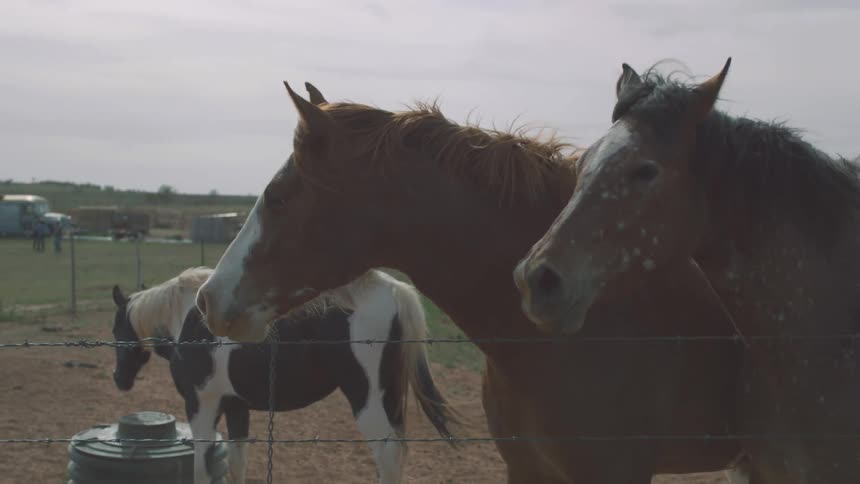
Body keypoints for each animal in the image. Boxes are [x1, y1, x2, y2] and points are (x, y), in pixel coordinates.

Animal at [111, 267, 458, 484]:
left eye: (115, 330)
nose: (119, 380)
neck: (188, 321)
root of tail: (394, 291)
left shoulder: (201, 406)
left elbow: (202, 468)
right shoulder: (236, 408)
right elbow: (237, 463)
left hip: (367, 400)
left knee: (388, 453)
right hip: (390, 400)